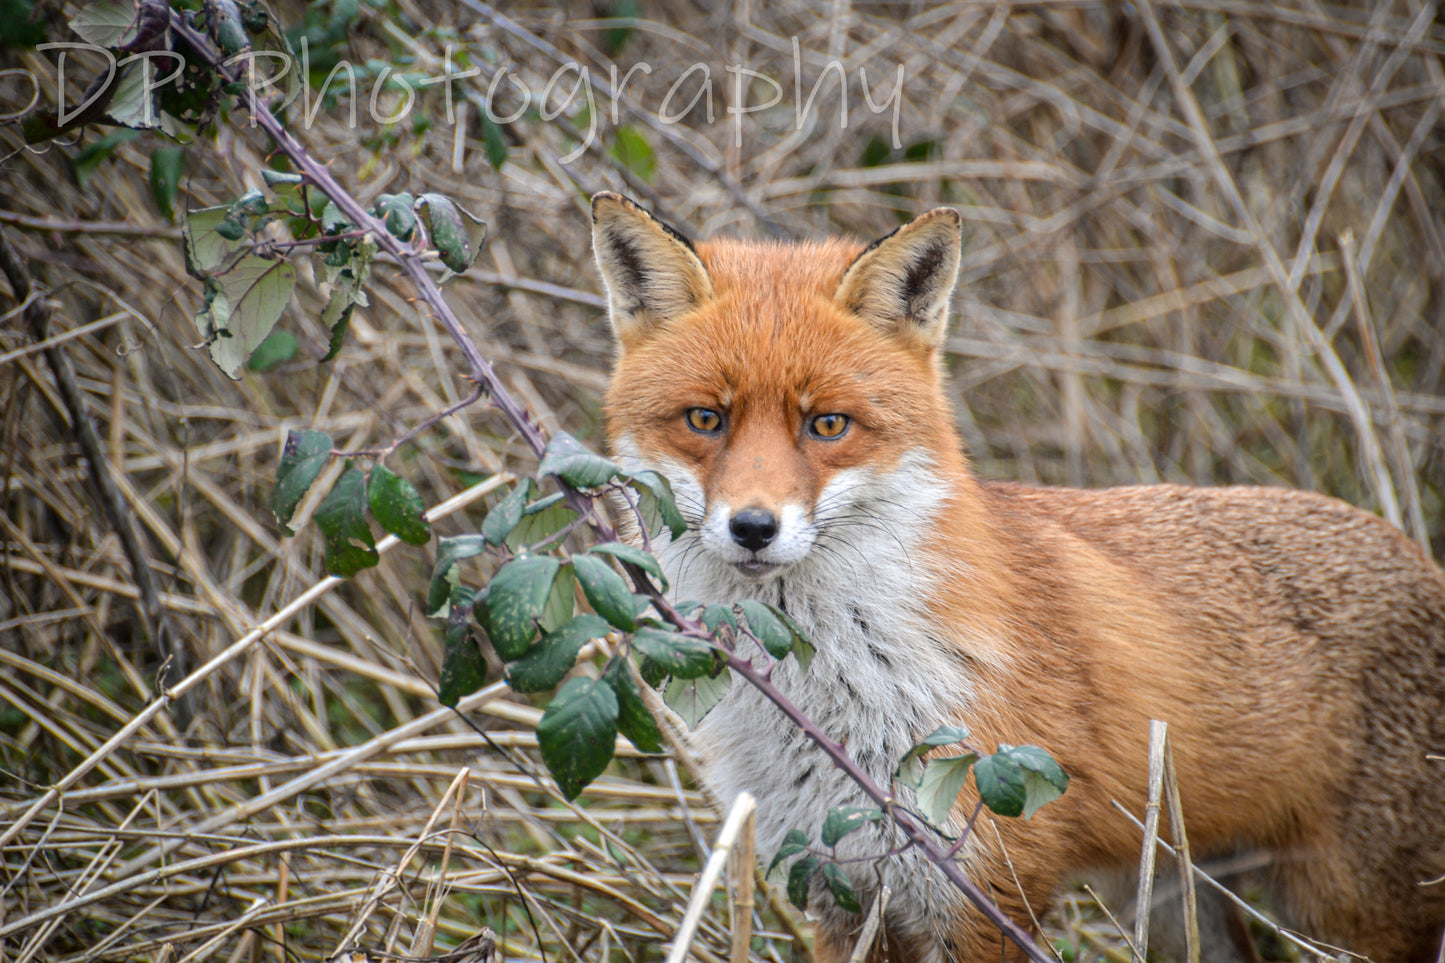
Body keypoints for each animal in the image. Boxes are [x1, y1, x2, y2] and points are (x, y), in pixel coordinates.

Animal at [590, 191, 1445, 963]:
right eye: (705, 419)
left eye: (826, 424)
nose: (753, 527)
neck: (839, 685)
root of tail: (1418, 557)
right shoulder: (837, 883)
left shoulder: (984, 886)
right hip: (1180, 903)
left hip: (1349, 911)